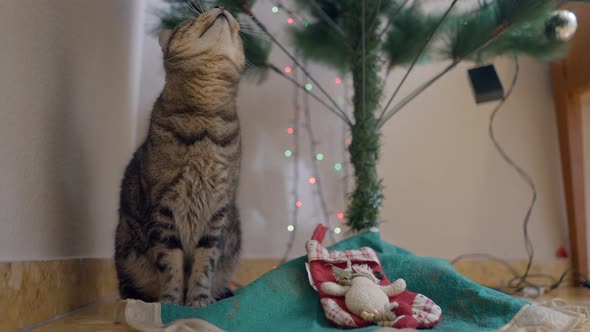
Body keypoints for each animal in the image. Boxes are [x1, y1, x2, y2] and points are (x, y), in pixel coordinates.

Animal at [114, 5, 244, 306]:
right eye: (190, 19)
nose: (222, 7)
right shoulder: (162, 210)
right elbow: (170, 265)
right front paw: (171, 303)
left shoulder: (218, 213)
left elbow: (205, 264)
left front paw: (199, 301)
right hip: (126, 252)